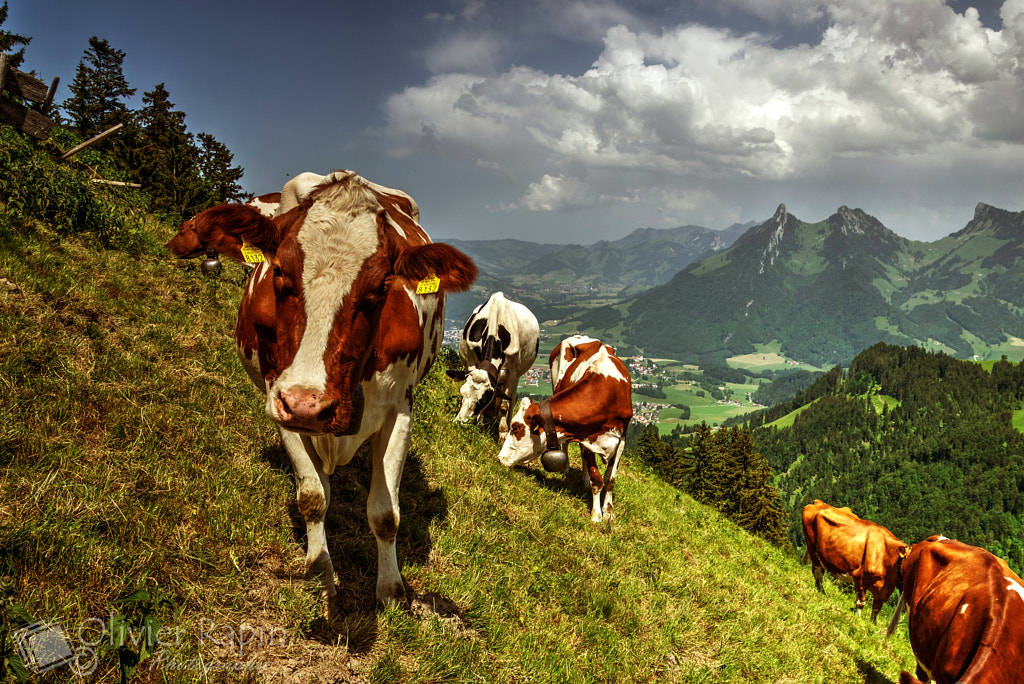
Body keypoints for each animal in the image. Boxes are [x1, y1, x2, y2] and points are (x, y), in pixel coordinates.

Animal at [165, 169, 477, 610]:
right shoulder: (280, 401)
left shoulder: (399, 410)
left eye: (382, 286)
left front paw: (390, 589)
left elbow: (385, 514)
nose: (309, 406)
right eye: (279, 271)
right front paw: (320, 572)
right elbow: (313, 497)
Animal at [446, 290, 540, 440]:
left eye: (482, 401)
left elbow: (504, 405)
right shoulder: (472, 364)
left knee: (513, 397)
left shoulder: (511, 373)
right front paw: (480, 428)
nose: (459, 423)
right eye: (462, 394)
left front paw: (503, 432)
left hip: (518, 374)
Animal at [497, 333, 630, 520]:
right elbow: (596, 478)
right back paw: (567, 468)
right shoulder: (585, 438)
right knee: (568, 446)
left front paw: (609, 512)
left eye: (515, 428)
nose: (499, 458)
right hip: (556, 385)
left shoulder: (621, 439)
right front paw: (596, 515)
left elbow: (610, 480)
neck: (607, 393)